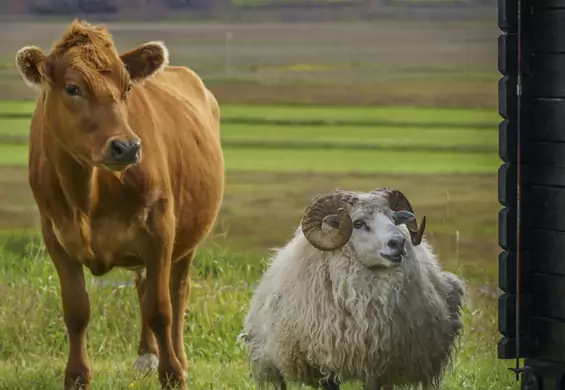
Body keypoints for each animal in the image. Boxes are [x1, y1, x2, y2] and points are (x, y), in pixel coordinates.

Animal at [14, 19, 225, 390]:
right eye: (72, 88)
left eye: (127, 88)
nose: (126, 147)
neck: (87, 196)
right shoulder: (55, 235)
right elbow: (76, 310)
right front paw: (77, 377)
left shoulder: (159, 230)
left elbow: (161, 309)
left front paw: (172, 375)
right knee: (142, 287)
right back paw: (146, 356)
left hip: (187, 237)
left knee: (177, 291)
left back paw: (178, 359)